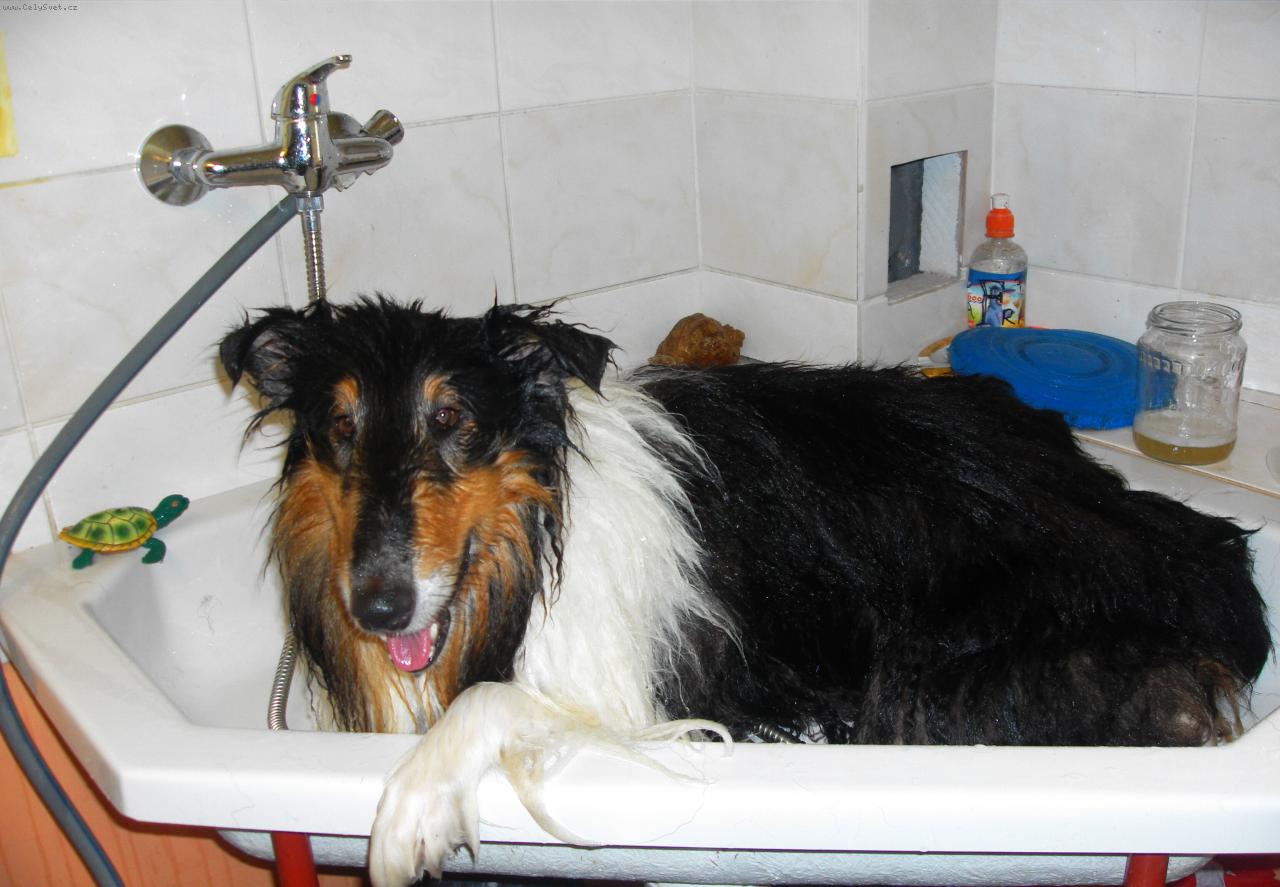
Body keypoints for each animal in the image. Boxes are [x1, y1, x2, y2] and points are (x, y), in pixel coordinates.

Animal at [220, 297, 1270, 886]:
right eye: (338, 429)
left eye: (452, 421)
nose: (378, 607)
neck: (537, 541)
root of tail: (1195, 545)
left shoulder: (644, 696)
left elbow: (493, 699)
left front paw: (407, 812)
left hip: (938, 672)